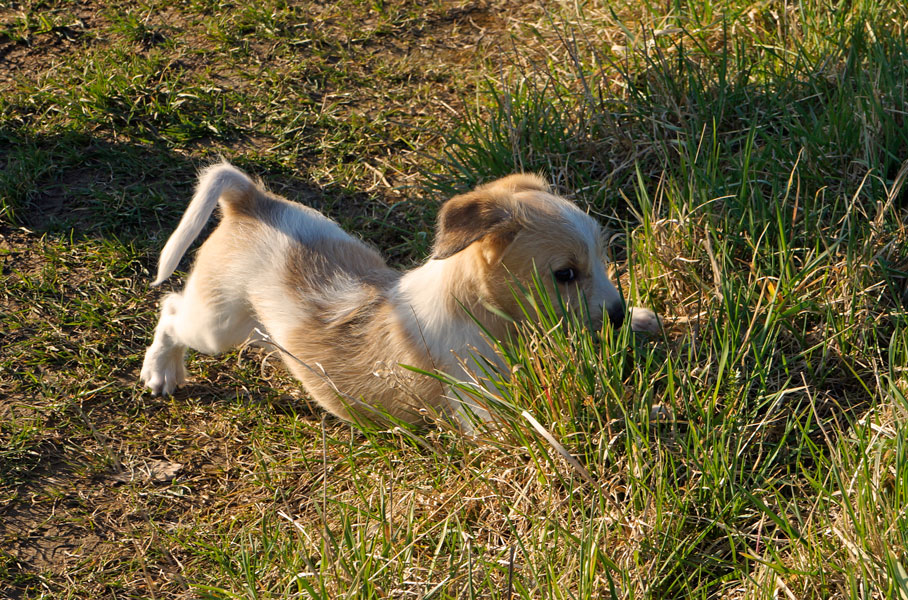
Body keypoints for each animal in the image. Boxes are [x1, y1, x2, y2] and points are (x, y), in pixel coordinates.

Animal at [140, 162, 659, 426]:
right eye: (565, 274)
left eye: (603, 256)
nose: (616, 314)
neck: (478, 311)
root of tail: (250, 200)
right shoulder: (488, 413)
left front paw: (639, 320)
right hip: (219, 324)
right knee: (172, 311)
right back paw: (161, 371)